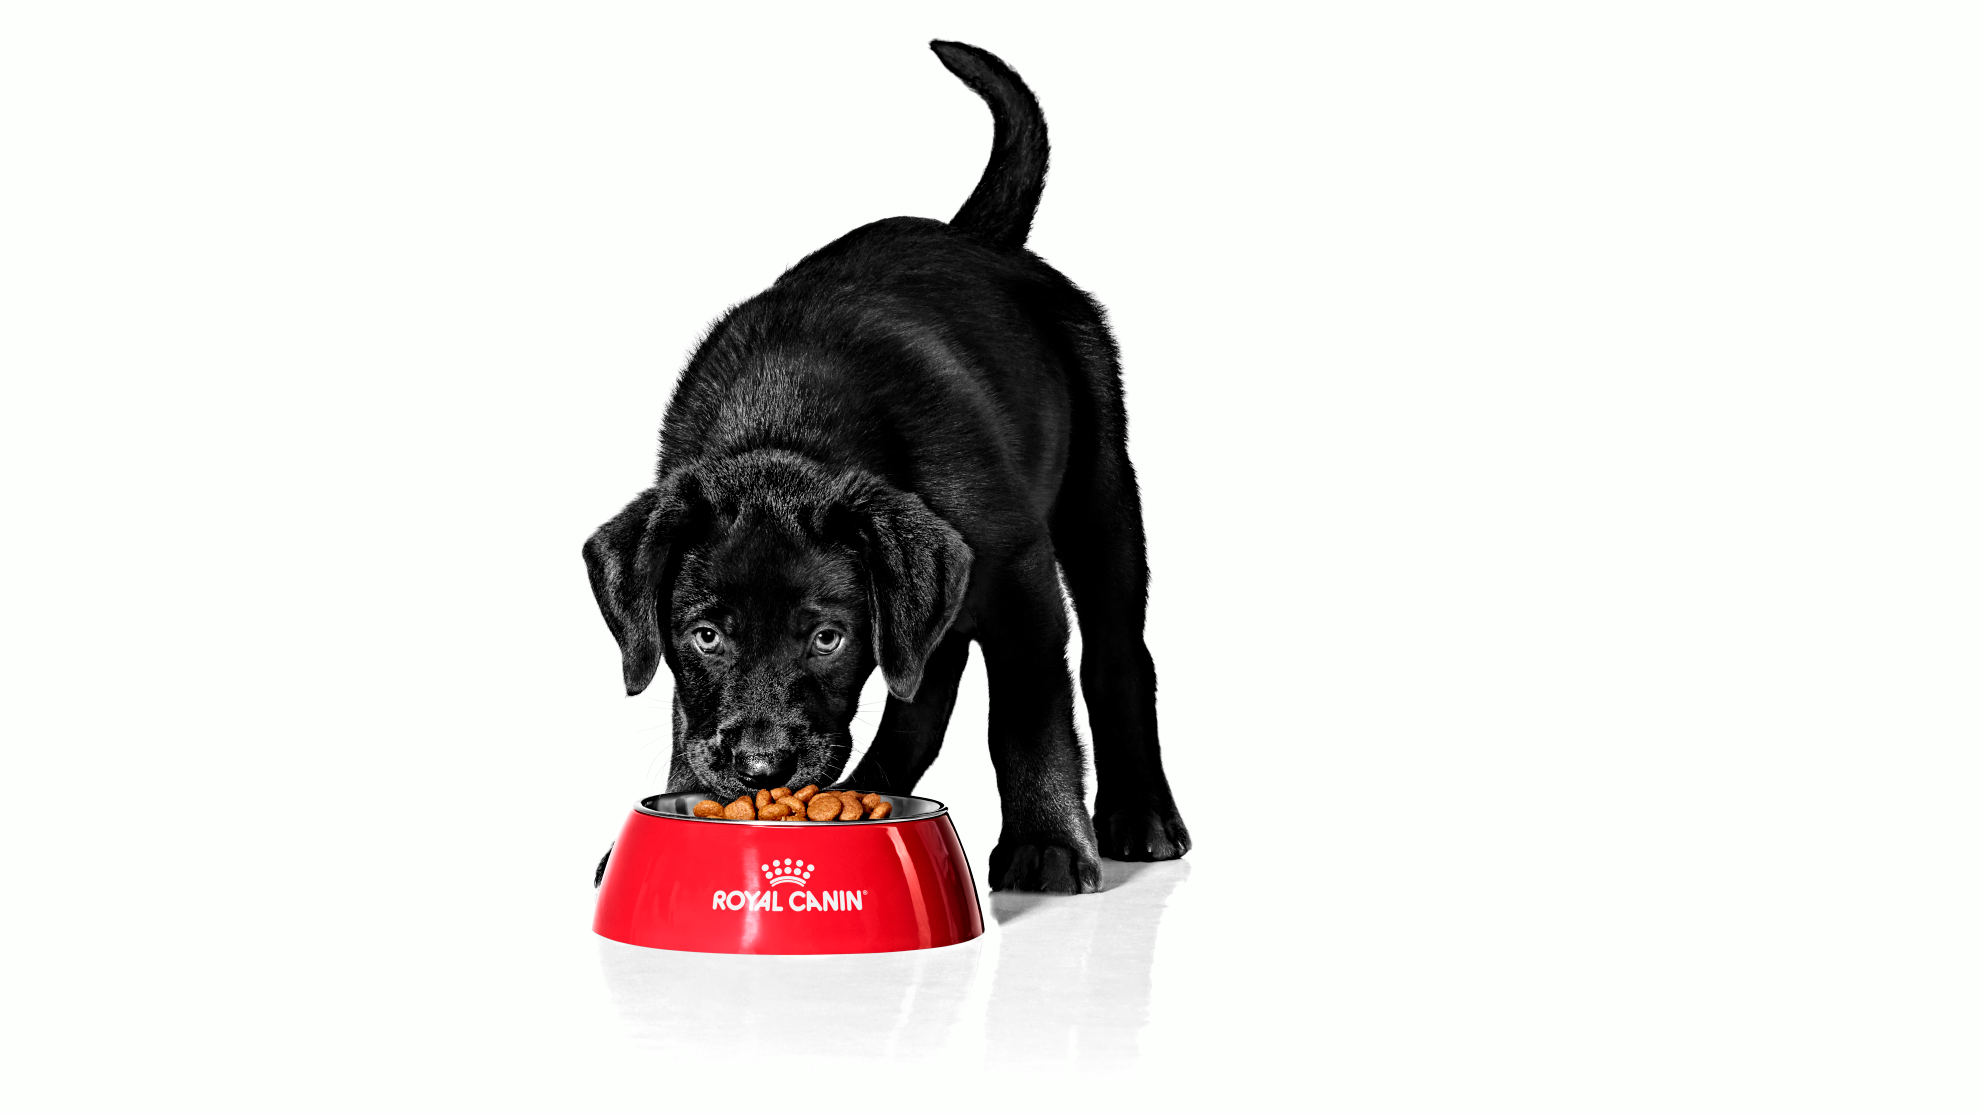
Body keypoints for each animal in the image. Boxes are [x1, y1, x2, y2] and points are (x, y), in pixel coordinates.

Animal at [578, 45, 1180, 898]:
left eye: (829, 638)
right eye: (705, 635)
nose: (761, 767)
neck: (791, 426)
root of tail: (977, 239)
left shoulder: (1020, 576)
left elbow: (1029, 715)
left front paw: (1047, 843)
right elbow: (684, 710)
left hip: (1100, 489)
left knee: (1118, 650)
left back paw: (1140, 815)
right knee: (928, 675)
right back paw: (874, 780)